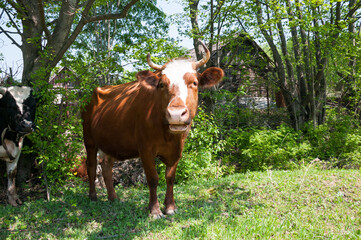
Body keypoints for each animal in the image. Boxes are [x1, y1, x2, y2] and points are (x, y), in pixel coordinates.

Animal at [82, 42, 222, 218]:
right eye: (162, 84)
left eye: (195, 83)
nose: (176, 114)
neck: (168, 136)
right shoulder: (145, 149)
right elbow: (153, 178)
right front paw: (154, 210)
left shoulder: (177, 150)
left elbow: (170, 178)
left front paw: (170, 207)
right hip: (89, 140)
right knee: (92, 165)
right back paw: (93, 196)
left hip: (110, 142)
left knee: (106, 166)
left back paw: (113, 198)